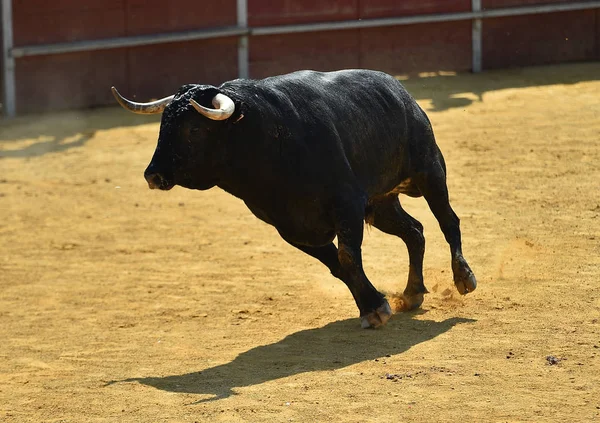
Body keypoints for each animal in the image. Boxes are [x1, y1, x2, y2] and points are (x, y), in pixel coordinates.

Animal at [111, 69, 478, 330]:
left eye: (193, 130)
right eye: (163, 126)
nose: (152, 175)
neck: (264, 138)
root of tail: (402, 92)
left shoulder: (347, 204)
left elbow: (347, 257)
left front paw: (375, 310)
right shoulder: (290, 227)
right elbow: (337, 266)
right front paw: (371, 305)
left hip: (430, 171)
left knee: (447, 220)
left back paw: (463, 277)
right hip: (381, 204)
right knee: (414, 232)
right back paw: (413, 293)